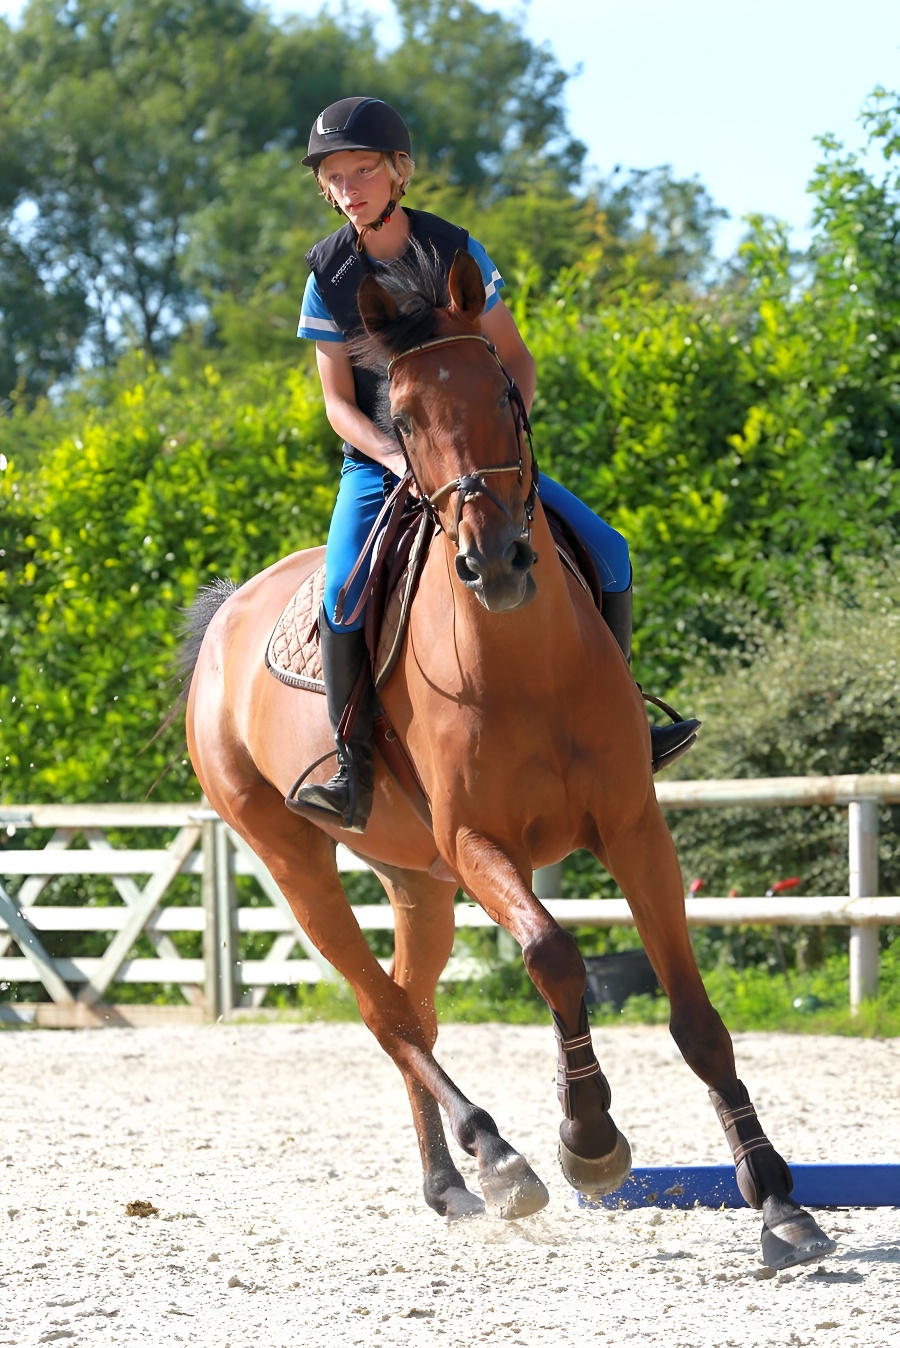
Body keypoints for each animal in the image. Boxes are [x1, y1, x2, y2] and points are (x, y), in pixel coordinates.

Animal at [183, 250, 835, 1268]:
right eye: (402, 415)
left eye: (499, 388)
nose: (494, 563)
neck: (524, 658)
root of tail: (224, 622)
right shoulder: (476, 842)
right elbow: (553, 954)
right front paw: (588, 1139)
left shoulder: (632, 826)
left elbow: (696, 1018)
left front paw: (776, 1200)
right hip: (297, 862)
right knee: (384, 1012)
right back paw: (495, 1156)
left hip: (416, 880)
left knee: (414, 1003)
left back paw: (448, 1183)